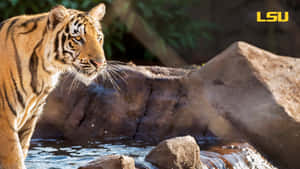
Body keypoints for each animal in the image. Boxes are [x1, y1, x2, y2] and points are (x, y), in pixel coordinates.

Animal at [0, 2, 106, 169]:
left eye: (99, 37)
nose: (99, 63)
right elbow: (14, 159)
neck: (46, 70)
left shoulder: (28, 121)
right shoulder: (5, 120)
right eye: (78, 38)